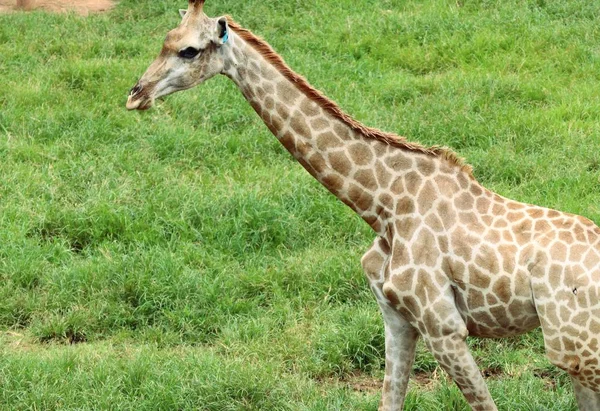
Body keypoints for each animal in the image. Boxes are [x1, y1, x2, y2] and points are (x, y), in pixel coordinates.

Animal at [126, 1, 600, 410]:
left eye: (189, 49)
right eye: (164, 40)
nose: (135, 95)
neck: (382, 204)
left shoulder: (444, 326)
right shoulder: (396, 318)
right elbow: (389, 400)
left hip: (575, 348)